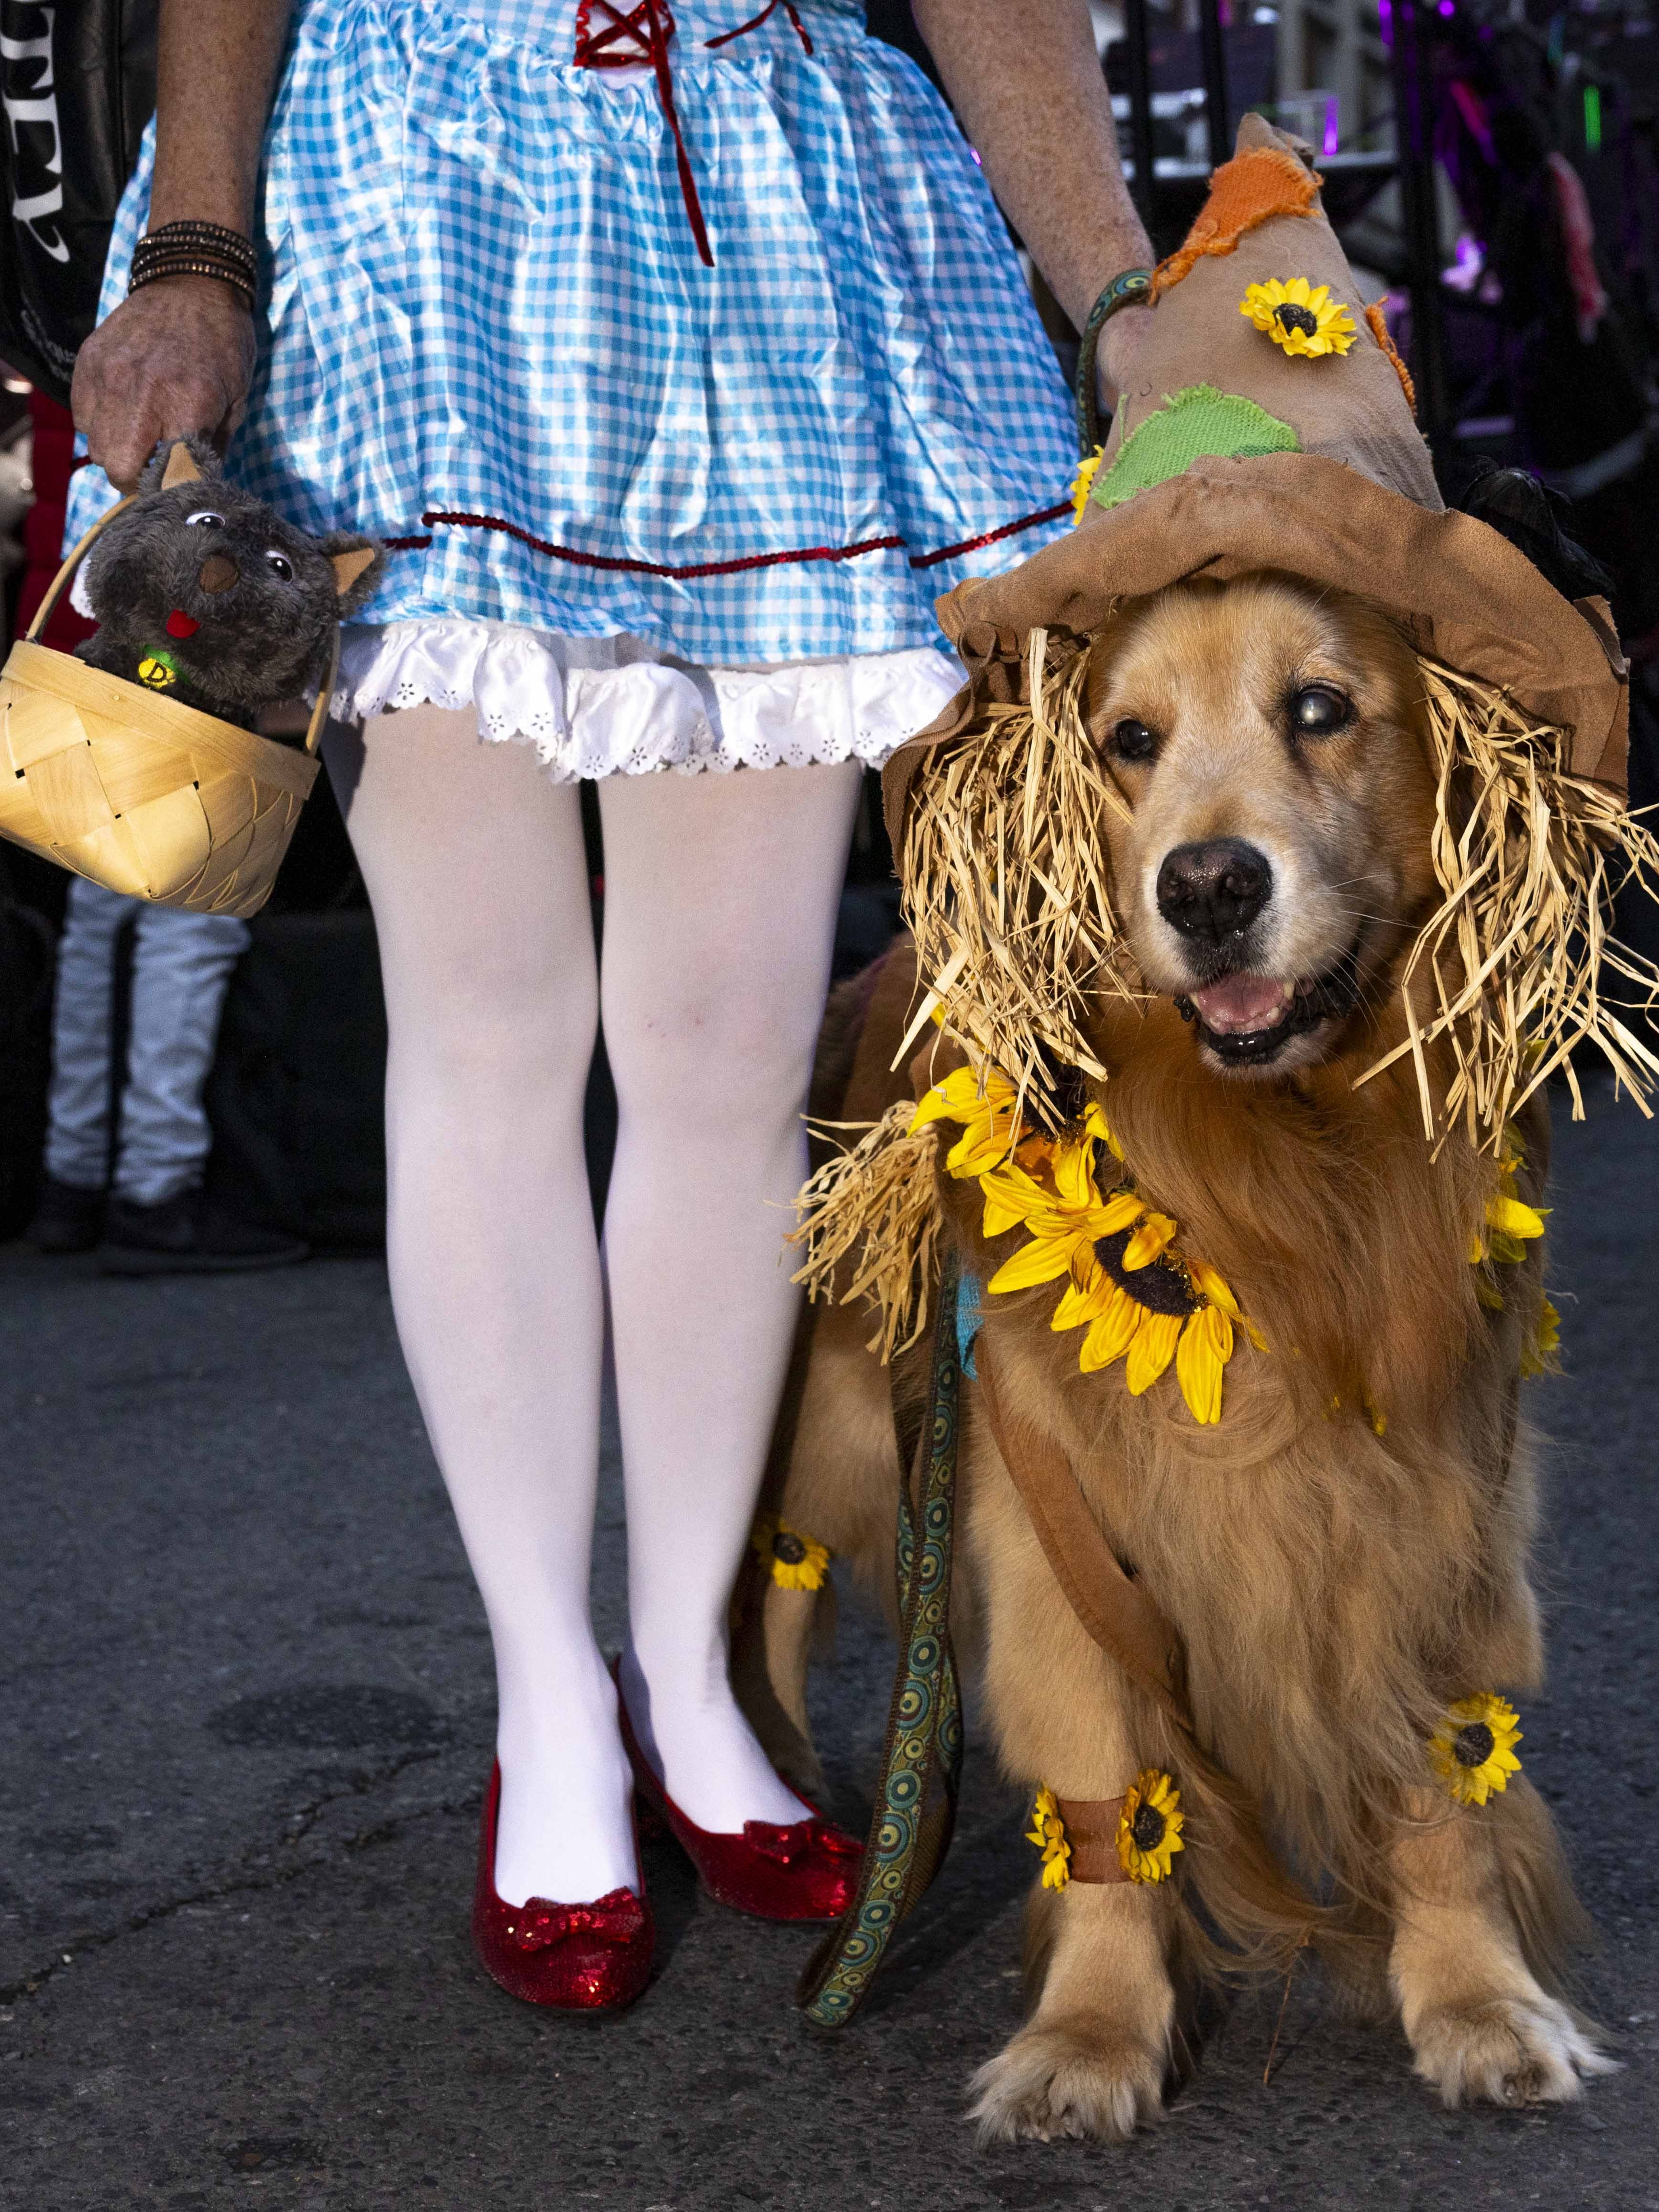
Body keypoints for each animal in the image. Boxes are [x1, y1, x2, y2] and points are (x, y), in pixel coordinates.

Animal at [734, 571, 1619, 2141]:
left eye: (1320, 707)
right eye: (1126, 739)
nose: (1206, 887)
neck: (1283, 1185)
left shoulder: (1443, 1516)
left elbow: (1444, 1784)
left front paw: (1476, 1999)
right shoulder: (1054, 1533)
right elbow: (1106, 1809)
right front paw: (1088, 2034)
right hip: (825, 1437)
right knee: (768, 1602)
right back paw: (797, 1822)